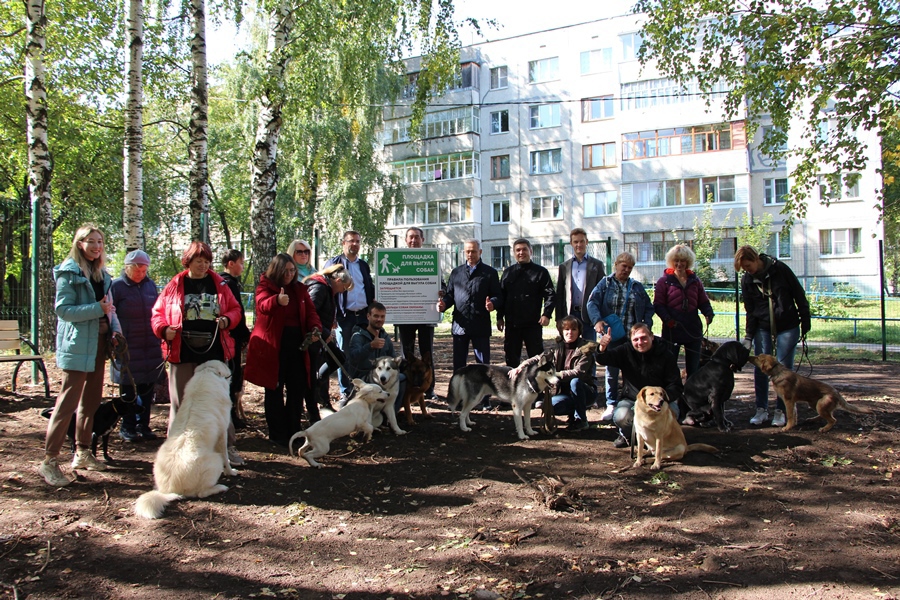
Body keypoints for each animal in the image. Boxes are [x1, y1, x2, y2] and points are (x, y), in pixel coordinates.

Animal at [744, 352, 872, 432]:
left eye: (758, 357)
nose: (748, 356)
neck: (778, 372)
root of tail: (837, 393)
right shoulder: (792, 402)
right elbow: (794, 414)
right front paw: (793, 425)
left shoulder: (788, 400)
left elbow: (790, 415)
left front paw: (787, 428)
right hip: (814, 404)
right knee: (827, 415)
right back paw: (811, 420)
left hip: (820, 404)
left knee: (833, 419)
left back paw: (824, 429)